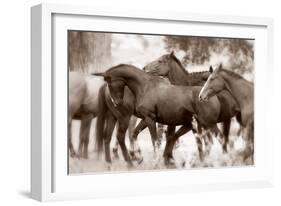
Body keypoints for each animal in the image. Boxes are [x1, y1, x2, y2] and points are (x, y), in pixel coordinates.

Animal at [94, 63, 230, 165]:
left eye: (110, 83)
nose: (117, 103)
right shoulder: (148, 119)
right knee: (112, 137)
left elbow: (155, 139)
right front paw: (142, 157)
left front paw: (157, 160)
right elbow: (139, 135)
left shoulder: (150, 119)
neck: (145, 87)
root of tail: (213, 98)